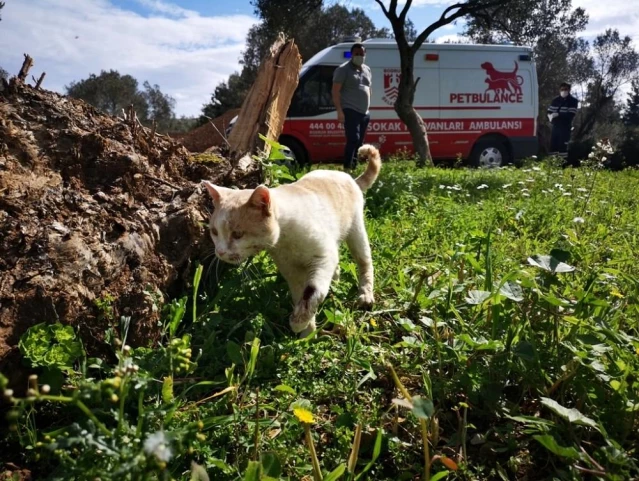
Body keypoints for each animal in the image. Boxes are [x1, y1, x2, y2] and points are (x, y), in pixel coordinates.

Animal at [202, 144, 380, 336]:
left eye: (237, 234)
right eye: (214, 232)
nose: (220, 252)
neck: (285, 240)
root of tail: (349, 178)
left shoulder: (324, 257)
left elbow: (313, 291)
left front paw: (298, 322)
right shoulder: (291, 270)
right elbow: (299, 294)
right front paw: (306, 332)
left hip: (356, 232)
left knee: (365, 263)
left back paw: (365, 296)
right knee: (338, 267)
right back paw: (335, 285)